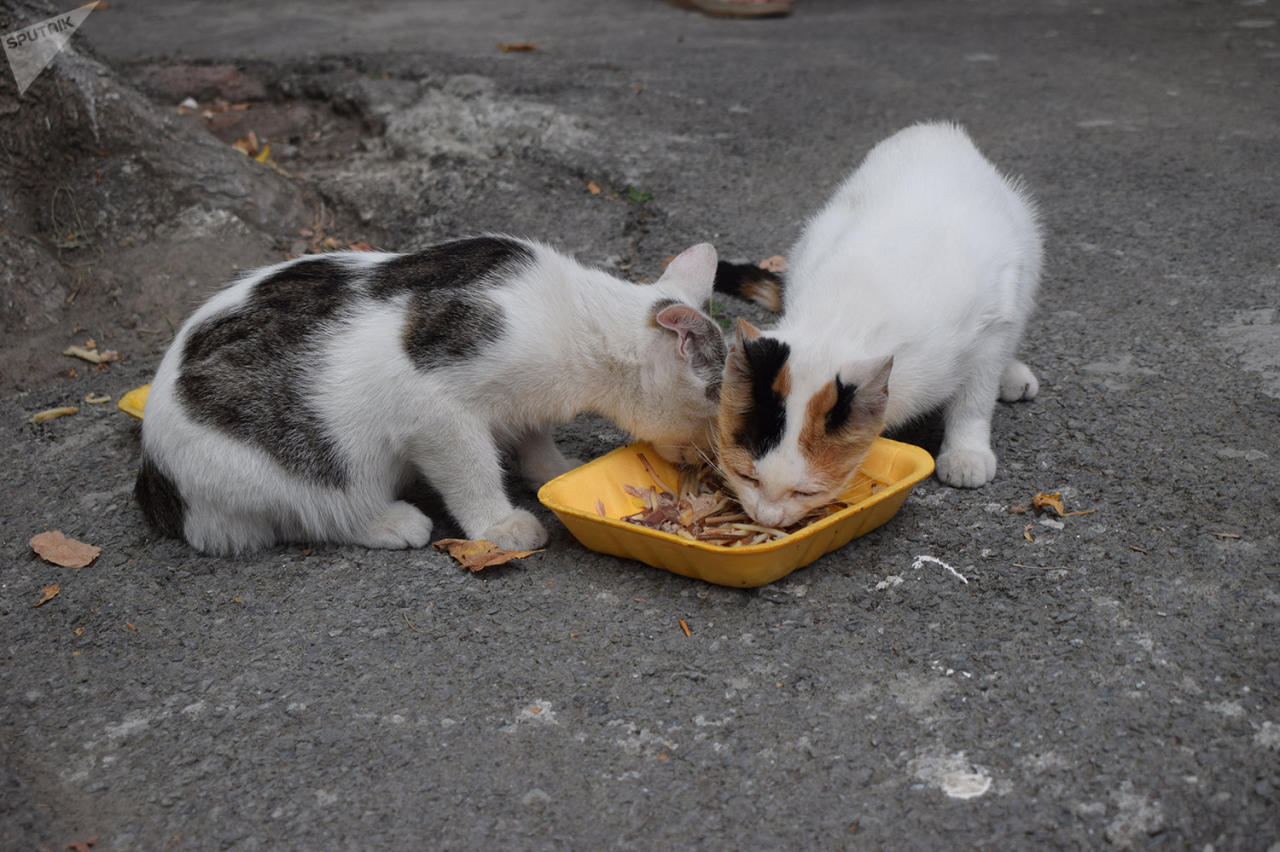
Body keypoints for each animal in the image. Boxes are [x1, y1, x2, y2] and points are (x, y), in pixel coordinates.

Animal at [137, 235, 732, 555]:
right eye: (723, 410)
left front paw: (553, 468)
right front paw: (499, 524)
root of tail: (153, 475)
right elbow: (470, 469)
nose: (718, 461)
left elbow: (533, 436)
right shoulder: (431, 410)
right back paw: (391, 521)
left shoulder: (523, 407)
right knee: (320, 512)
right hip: (292, 468)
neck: (580, 323)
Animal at [716, 122, 1044, 527]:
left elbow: (974, 397)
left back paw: (1011, 375)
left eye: (806, 492)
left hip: (1026, 249)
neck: (844, 318)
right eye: (747, 476)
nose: (767, 519)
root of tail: (933, 129)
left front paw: (966, 452)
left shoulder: (992, 320)